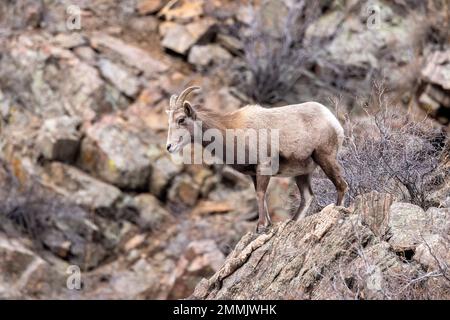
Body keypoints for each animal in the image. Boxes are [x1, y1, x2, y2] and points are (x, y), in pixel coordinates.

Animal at [167, 86, 346, 234]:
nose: (169, 147)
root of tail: (332, 120)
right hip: (302, 173)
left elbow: (260, 194)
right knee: (307, 197)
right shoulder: (254, 174)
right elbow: (261, 196)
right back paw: (292, 221)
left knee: (341, 185)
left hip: (325, 158)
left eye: (181, 119)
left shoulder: (263, 166)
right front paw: (268, 225)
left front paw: (260, 226)